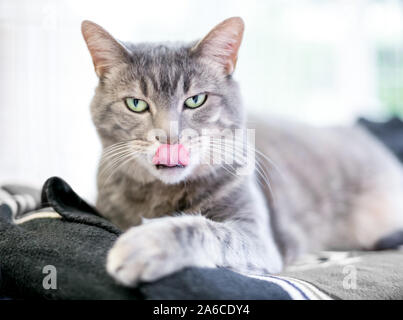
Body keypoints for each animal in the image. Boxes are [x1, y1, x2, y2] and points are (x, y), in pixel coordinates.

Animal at [80, 16, 403, 284]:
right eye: (136, 104)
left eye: (195, 100)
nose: (170, 138)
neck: (163, 195)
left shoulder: (257, 236)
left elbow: (204, 229)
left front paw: (147, 243)